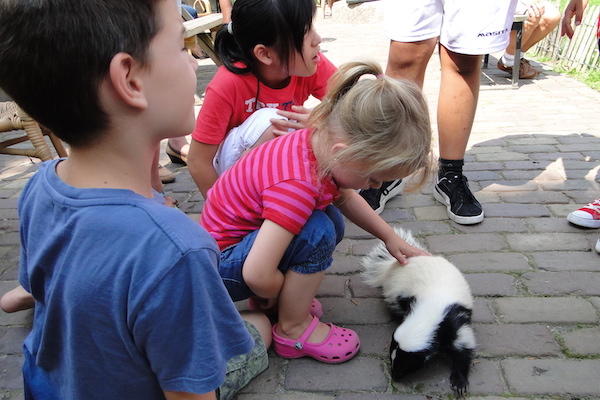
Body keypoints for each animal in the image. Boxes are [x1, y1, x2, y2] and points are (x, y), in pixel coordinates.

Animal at [364, 227, 476, 396]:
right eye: (392, 357)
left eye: (408, 363)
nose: (395, 376)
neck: (431, 307)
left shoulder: (453, 319)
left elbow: (463, 347)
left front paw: (459, 382)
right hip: (396, 294)